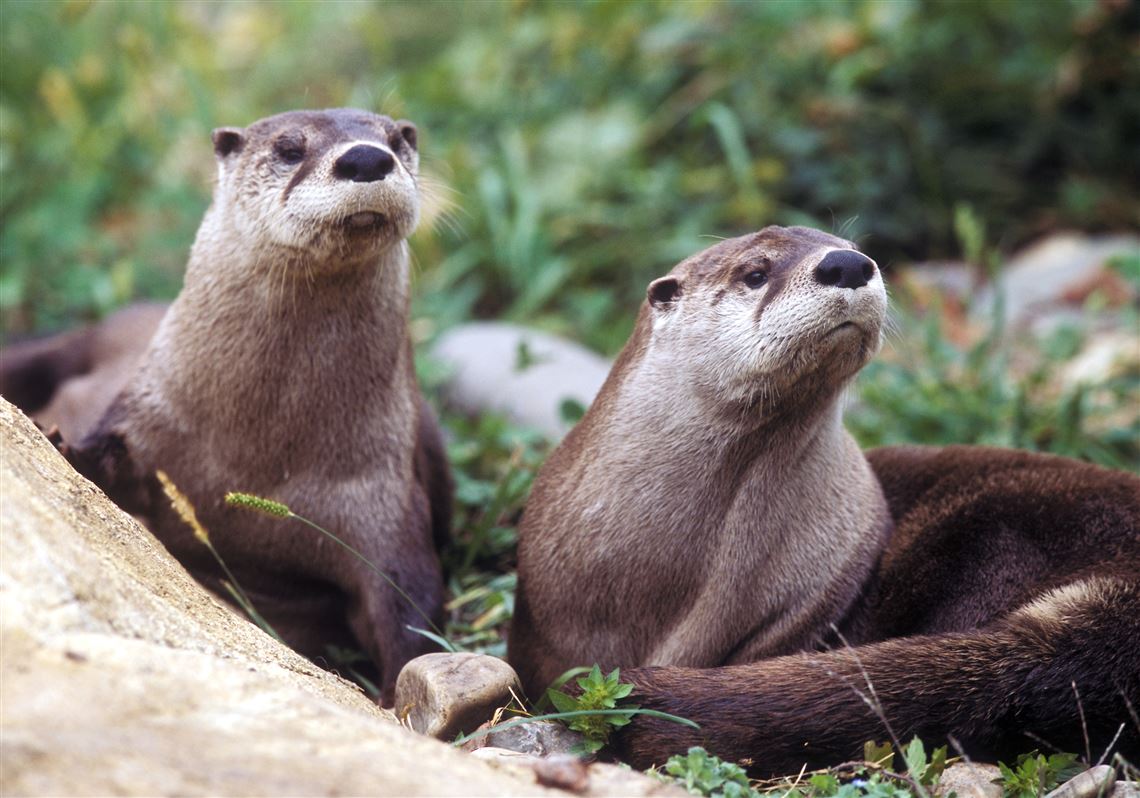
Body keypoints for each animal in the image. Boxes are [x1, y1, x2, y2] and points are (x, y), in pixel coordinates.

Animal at [1, 109, 451, 704]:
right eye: (289, 148)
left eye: (397, 141)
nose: (365, 157)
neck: (260, 450)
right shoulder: (152, 415)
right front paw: (65, 447)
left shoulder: (385, 496)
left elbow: (410, 606)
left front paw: (400, 692)